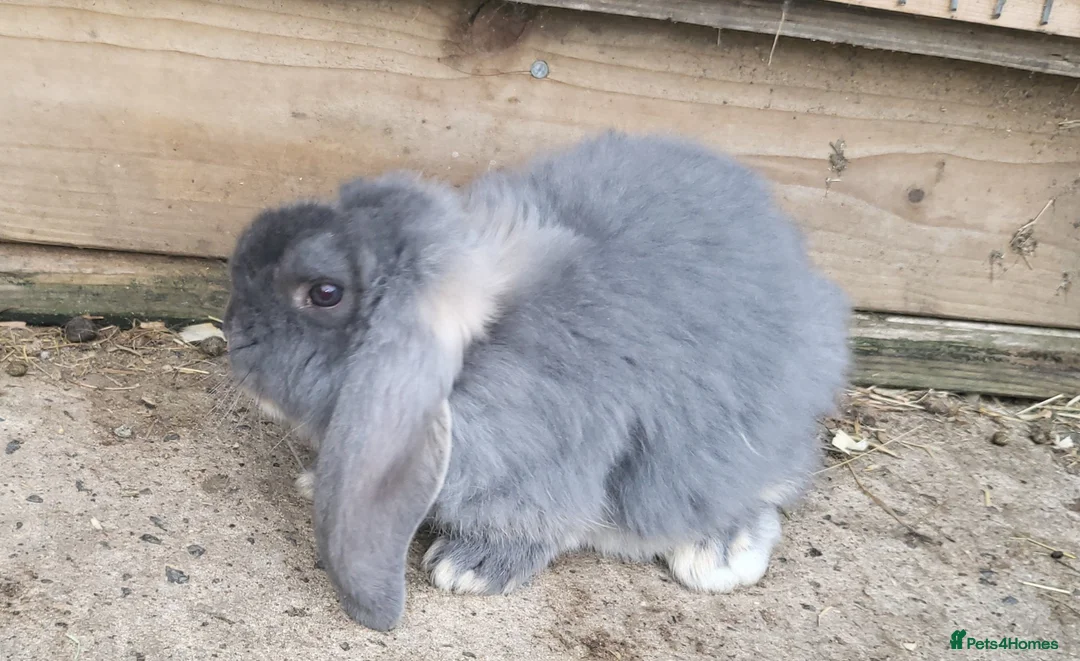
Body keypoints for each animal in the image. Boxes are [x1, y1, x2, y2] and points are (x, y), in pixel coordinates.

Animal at [222, 131, 851, 631]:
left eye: (324, 292)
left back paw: (719, 553)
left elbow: (541, 522)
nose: (231, 332)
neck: (480, 357)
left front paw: (467, 569)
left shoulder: (548, 465)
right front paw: (313, 483)